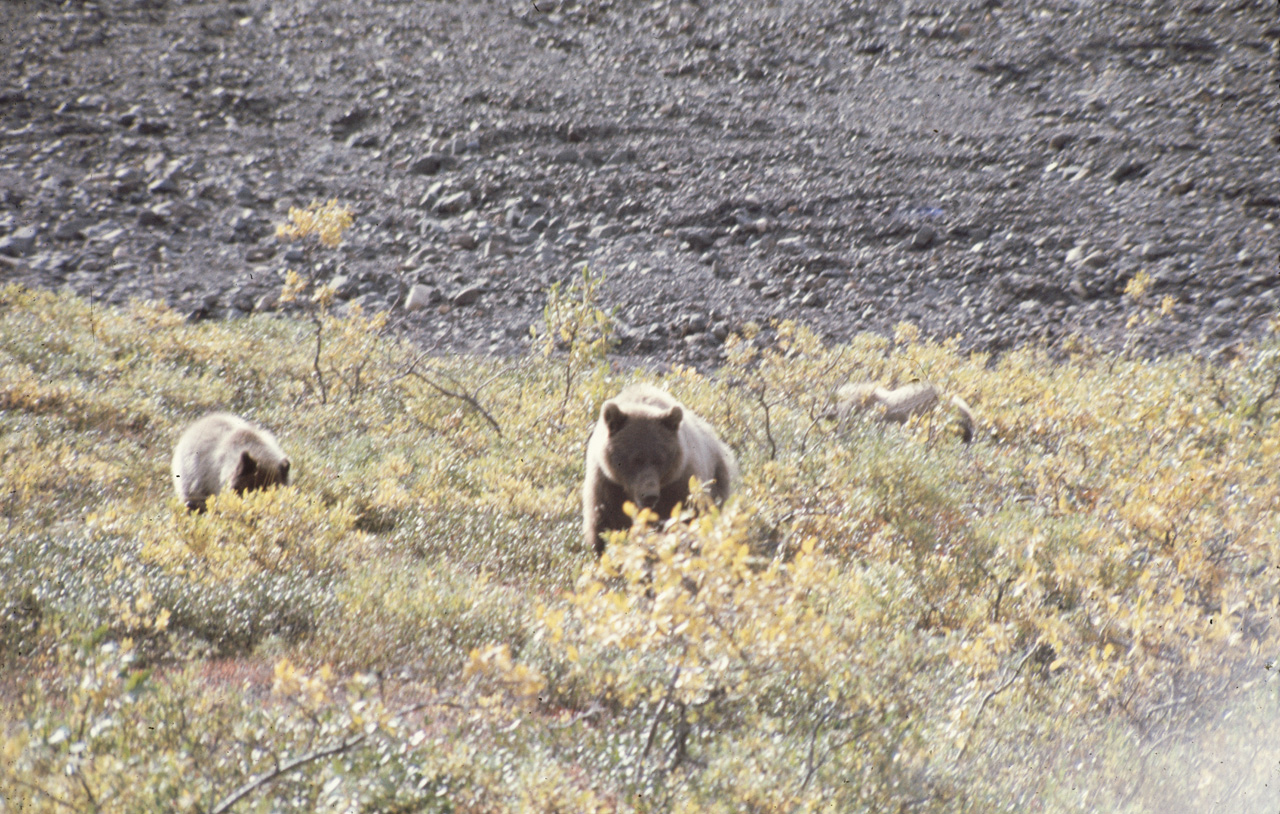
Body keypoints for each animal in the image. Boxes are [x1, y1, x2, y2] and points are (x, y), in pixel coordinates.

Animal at [583, 383, 737, 555]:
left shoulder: (681, 484)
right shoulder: (607, 485)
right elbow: (604, 526)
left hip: (717, 479)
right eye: (635, 460)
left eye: (659, 459)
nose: (649, 495)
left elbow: (688, 518)